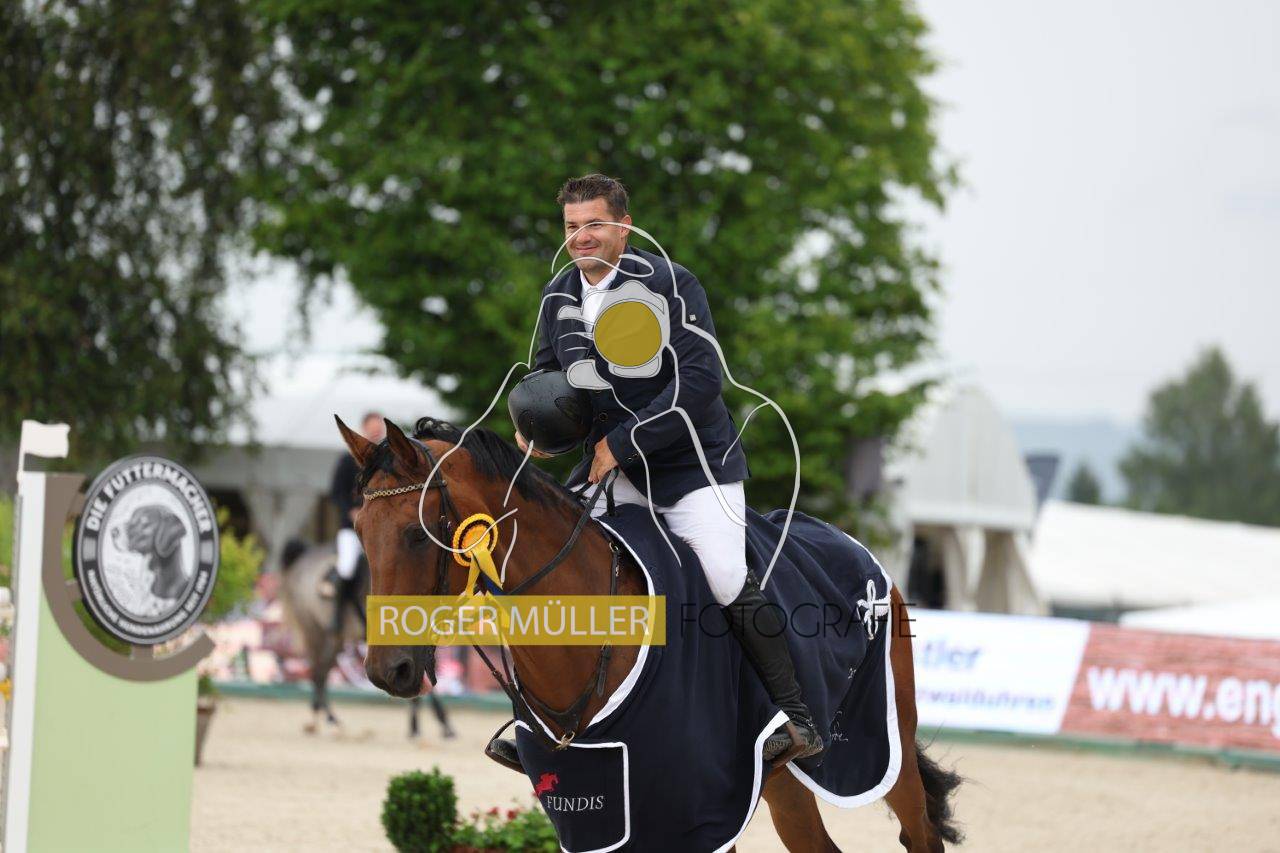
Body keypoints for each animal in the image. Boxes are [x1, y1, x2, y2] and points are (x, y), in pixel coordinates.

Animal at [278, 540, 455, 740]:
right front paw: (436, 724)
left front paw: (418, 725)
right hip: (314, 631)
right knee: (318, 673)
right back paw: (330, 720)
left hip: (334, 640)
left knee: (321, 671)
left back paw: (323, 719)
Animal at [339, 415, 963, 852]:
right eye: (360, 531)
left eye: (418, 533)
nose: (387, 671)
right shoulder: (595, 809)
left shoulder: (694, 803)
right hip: (778, 777)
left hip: (887, 748)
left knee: (920, 834)